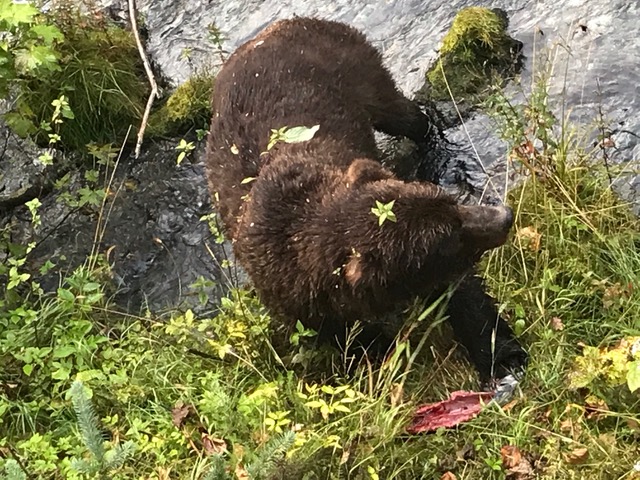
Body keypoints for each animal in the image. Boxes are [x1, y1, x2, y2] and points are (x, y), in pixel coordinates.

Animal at [205, 17, 527, 383]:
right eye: (447, 237)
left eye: (449, 204)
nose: (503, 216)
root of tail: (278, 26)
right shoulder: (297, 301)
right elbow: (347, 338)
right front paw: (377, 354)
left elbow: (462, 292)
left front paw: (502, 356)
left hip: (358, 72)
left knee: (403, 114)